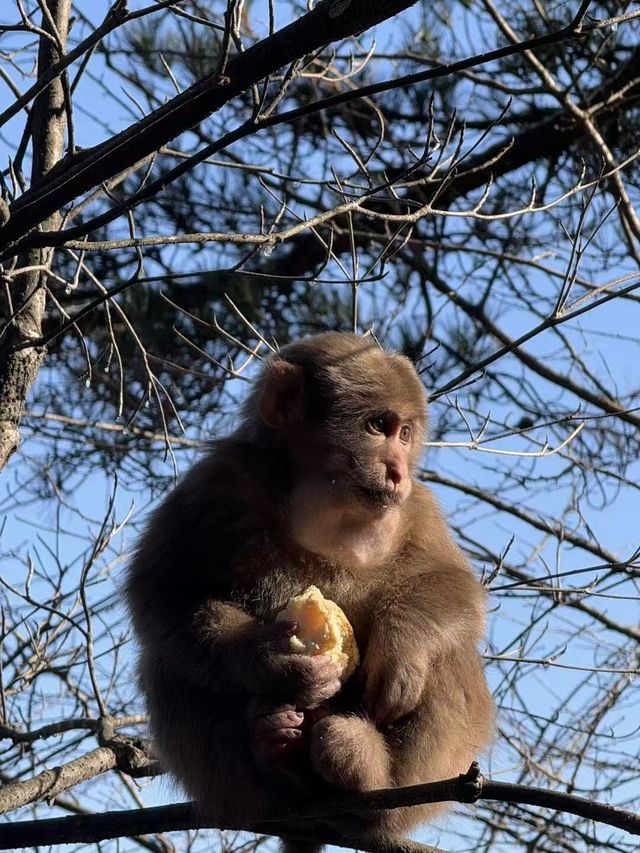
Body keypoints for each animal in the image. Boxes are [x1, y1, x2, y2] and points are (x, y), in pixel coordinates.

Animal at [125, 332, 496, 844]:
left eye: (405, 433)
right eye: (378, 426)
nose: (398, 468)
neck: (324, 504)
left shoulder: (415, 506)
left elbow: (453, 587)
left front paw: (401, 647)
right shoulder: (218, 483)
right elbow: (163, 595)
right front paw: (274, 658)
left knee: (448, 654)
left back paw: (364, 773)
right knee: (169, 661)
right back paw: (279, 757)